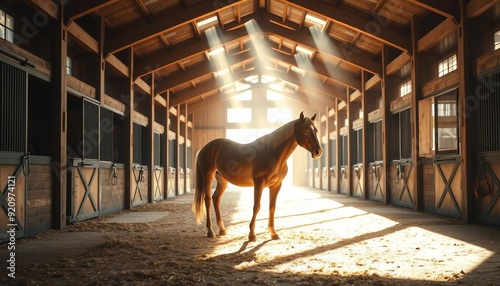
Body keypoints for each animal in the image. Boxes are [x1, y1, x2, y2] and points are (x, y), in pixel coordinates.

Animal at [193, 111, 322, 241]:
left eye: (316, 130)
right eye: (305, 130)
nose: (318, 152)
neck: (273, 153)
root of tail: (204, 148)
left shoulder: (276, 186)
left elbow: (272, 208)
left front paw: (273, 233)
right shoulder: (259, 183)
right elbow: (257, 206)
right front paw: (252, 234)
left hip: (222, 180)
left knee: (216, 199)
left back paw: (222, 230)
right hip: (208, 177)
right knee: (208, 200)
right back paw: (210, 231)